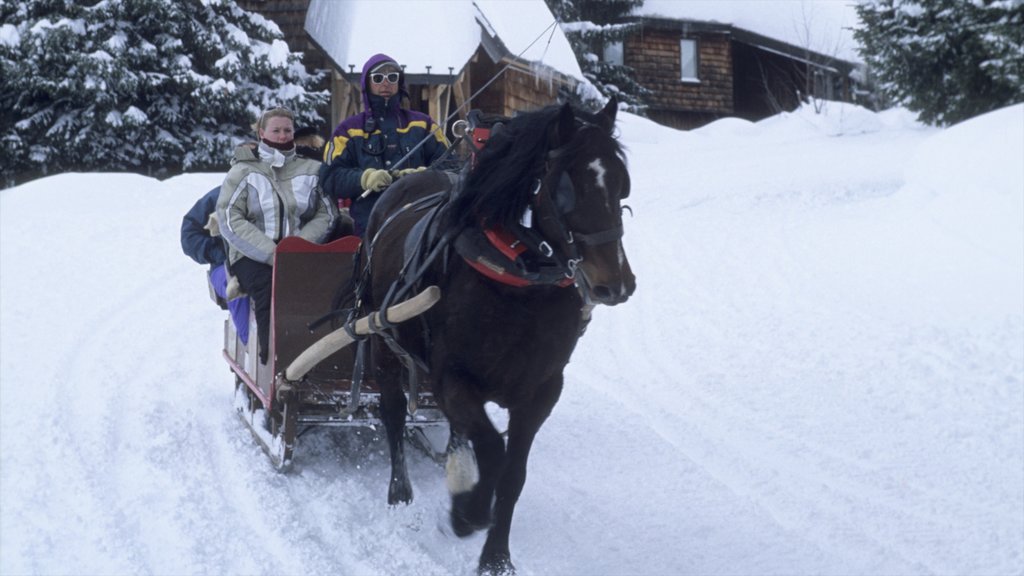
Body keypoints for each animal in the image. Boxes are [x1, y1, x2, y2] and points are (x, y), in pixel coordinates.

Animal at [358, 98, 630, 573]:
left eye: (620, 183)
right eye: (566, 186)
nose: (613, 284)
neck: (520, 280)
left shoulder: (542, 390)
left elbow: (513, 474)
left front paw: (496, 556)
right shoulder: (453, 378)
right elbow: (492, 449)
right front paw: (466, 513)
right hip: (384, 344)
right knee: (392, 414)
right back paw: (401, 493)